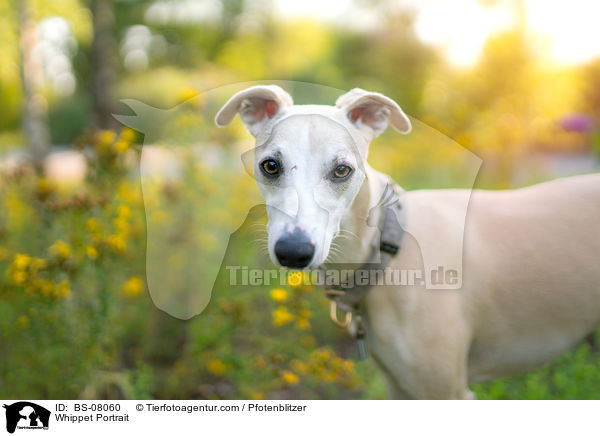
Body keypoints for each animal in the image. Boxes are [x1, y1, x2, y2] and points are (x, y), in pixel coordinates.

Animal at [216, 84, 600, 398]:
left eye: (342, 170)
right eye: (270, 165)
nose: (294, 252)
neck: (388, 252)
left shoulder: (446, 391)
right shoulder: (400, 387)